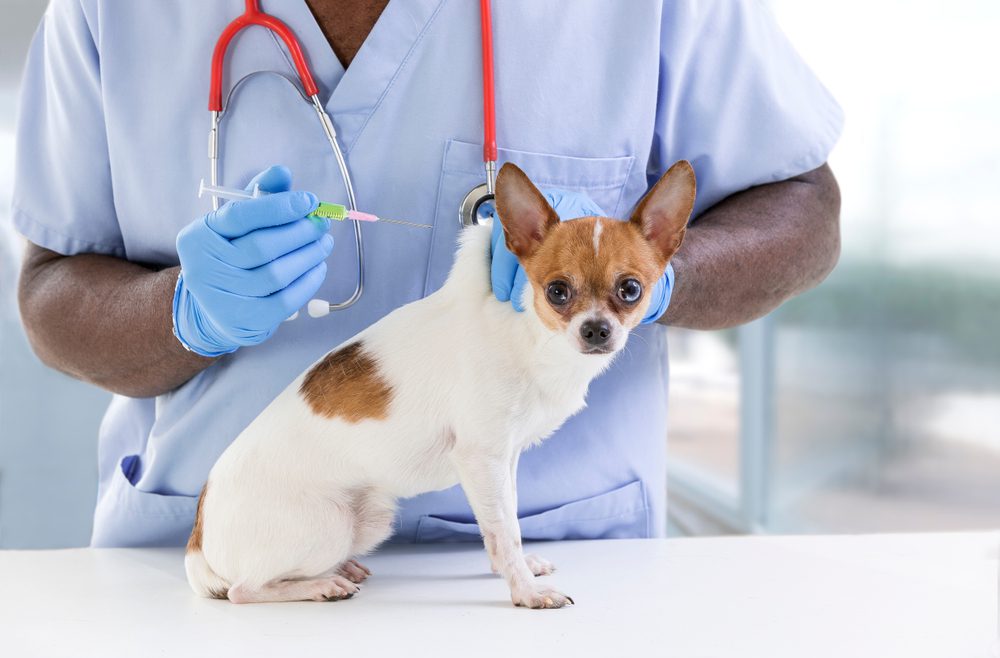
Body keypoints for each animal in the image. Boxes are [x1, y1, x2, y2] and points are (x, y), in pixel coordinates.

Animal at [184, 158, 696, 604]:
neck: (530, 339)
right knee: (243, 590)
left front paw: (517, 569)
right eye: (557, 292)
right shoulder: (482, 459)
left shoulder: (504, 459)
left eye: (631, 289)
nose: (595, 330)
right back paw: (320, 584)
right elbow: (504, 528)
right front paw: (525, 592)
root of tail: (198, 539)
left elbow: (504, 524)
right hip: (331, 525)